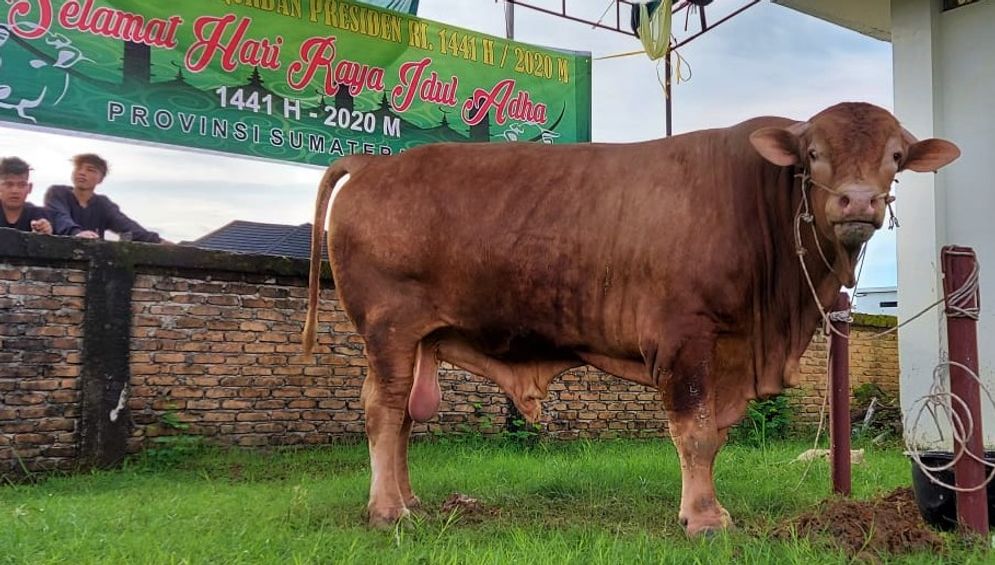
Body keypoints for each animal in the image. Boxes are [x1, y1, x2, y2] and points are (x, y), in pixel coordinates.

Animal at [302, 101, 956, 532]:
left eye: (896, 156)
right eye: (814, 154)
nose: (859, 201)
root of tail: (371, 165)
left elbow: (715, 435)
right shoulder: (686, 336)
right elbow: (695, 431)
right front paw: (703, 518)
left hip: (417, 340)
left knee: (403, 421)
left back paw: (409, 501)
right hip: (388, 329)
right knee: (383, 412)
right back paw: (388, 511)